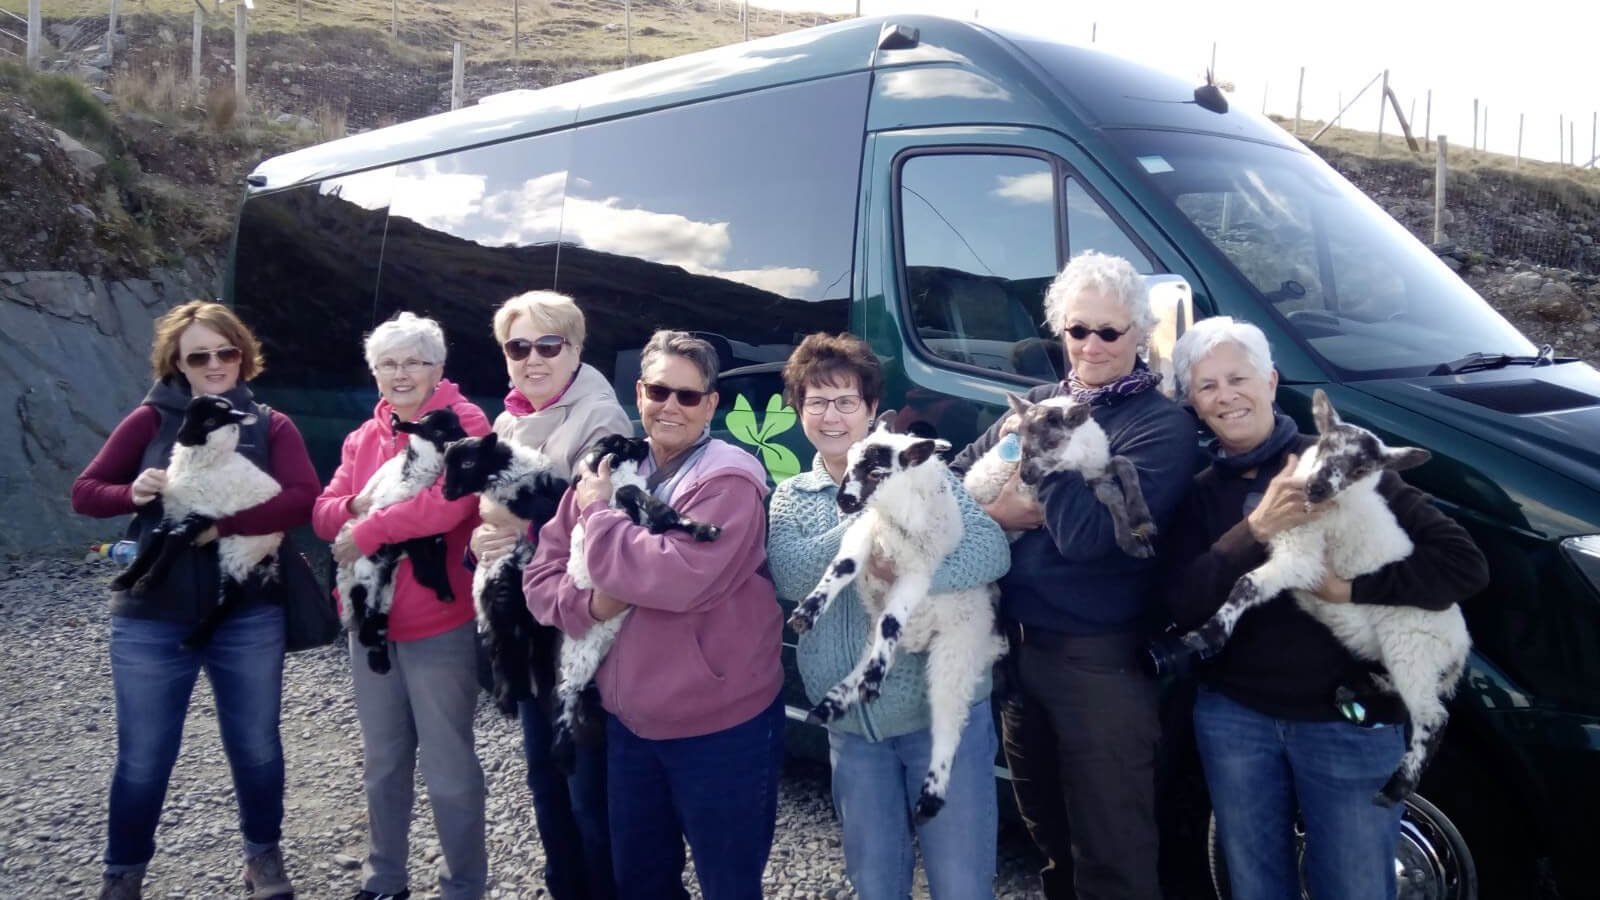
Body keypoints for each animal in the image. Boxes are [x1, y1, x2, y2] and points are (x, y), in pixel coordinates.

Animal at [112, 392, 284, 643]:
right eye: (186, 414)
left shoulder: (204, 511)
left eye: (210, 422)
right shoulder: (174, 510)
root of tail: (275, 542)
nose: (181, 437)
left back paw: (193, 640)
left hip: (240, 548)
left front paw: (146, 584)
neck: (202, 465)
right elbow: (155, 539)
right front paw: (124, 579)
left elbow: (173, 540)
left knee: (235, 594)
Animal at [441, 432, 572, 714]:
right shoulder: (514, 500)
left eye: (467, 463)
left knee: (533, 657)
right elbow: (541, 506)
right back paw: (508, 702)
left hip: (535, 622)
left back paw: (541, 697)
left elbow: (558, 491)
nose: (445, 493)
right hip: (499, 603)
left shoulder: (545, 481)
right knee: (503, 655)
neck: (507, 469)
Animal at [553, 432, 723, 768]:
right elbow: (630, 495)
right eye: (621, 443)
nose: (643, 440)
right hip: (575, 665)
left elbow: (667, 516)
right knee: (565, 702)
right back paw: (564, 752)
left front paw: (703, 528)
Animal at [953, 392, 1158, 554]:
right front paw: (1132, 543)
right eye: (1020, 441)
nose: (1025, 476)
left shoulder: (1096, 471)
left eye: (1051, 443)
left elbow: (1124, 464)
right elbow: (1111, 495)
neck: (1082, 458)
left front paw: (1142, 521)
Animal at [1158, 389, 1465, 800]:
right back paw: (1354, 690)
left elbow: (1246, 583)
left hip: (1412, 646)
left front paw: (1207, 636)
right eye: (1324, 445)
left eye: (1361, 469)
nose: (1318, 487)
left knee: (1433, 717)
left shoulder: (1302, 560)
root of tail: (1462, 647)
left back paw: (1397, 785)